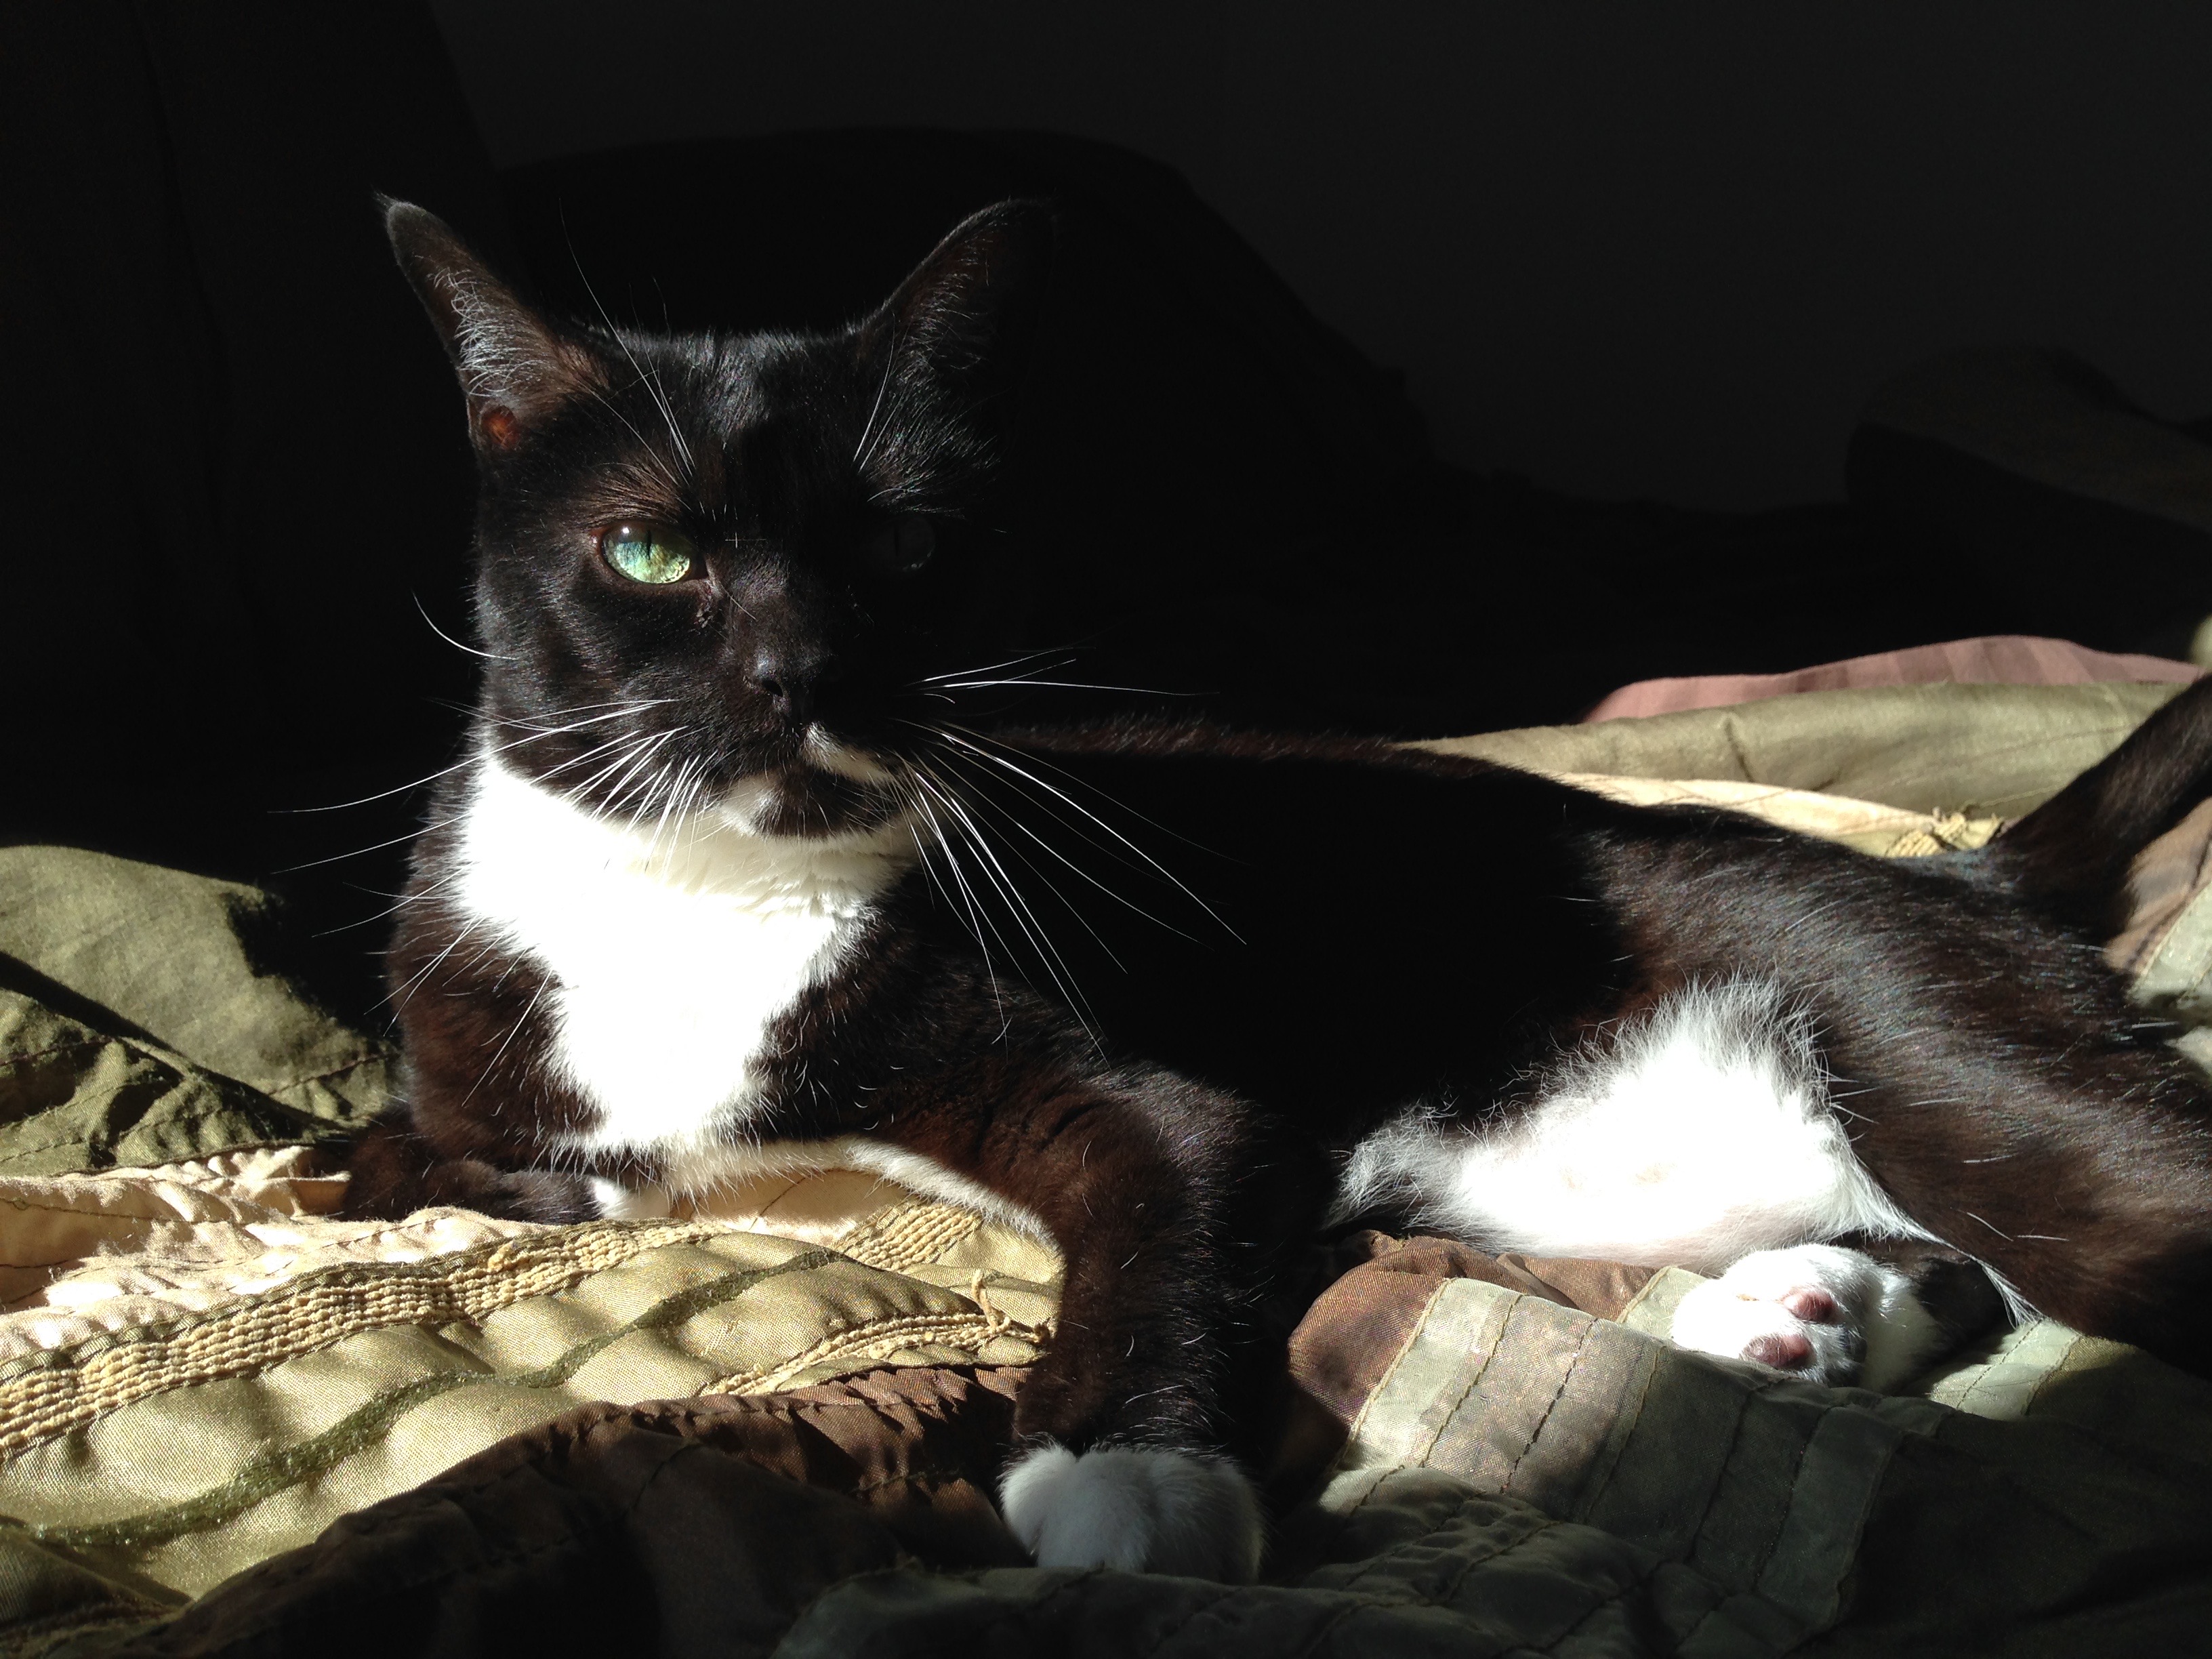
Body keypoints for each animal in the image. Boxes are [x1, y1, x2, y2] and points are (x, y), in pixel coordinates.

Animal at [345, 194, 2212, 1584]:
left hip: (1931, 1052)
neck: (715, 897)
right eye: (651, 550)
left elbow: (1169, 1206)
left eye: (901, 547)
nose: (800, 672)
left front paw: (1133, 1480)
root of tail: (1971, 869)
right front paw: (384, 1176)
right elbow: (445, 1170)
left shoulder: (1166, 1099)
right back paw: (1807, 1303)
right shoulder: (500, 1084)